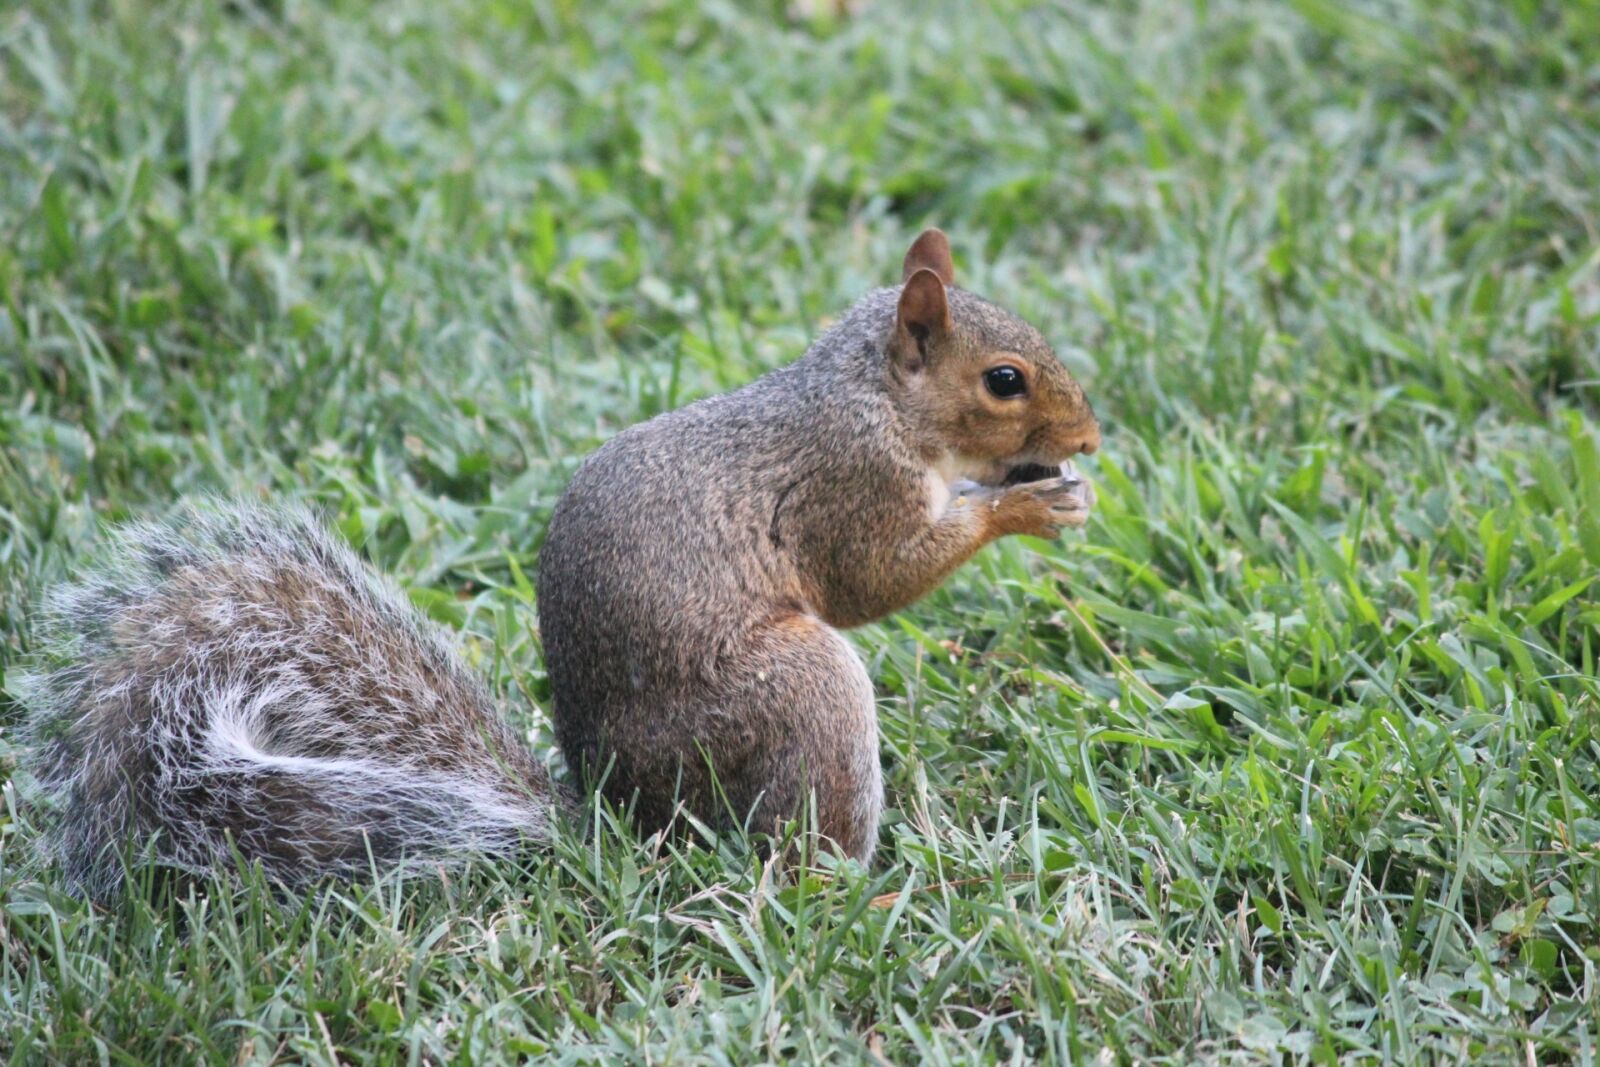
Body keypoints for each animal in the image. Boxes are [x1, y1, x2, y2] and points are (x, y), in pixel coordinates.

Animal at [13, 230, 1100, 898]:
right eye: (1004, 380)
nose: (1088, 436)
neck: (871, 398)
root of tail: (626, 819)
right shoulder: (848, 486)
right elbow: (875, 578)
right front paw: (1023, 504)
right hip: (795, 687)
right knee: (790, 843)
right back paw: (854, 888)